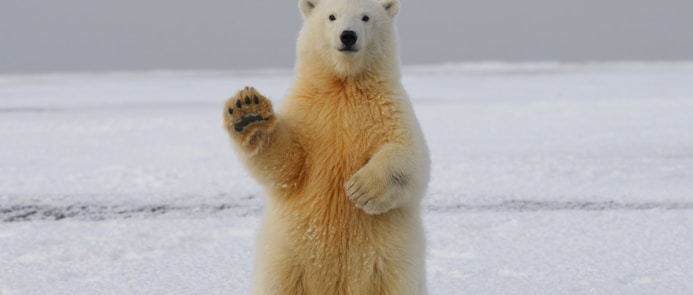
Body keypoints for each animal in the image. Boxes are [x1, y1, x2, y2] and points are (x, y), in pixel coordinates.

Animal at [223, 1, 428, 294]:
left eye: (365, 17)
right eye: (332, 16)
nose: (348, 36)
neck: (344, 85)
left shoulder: (389, 109)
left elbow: (411, 157)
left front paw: (360, 189)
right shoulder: (308, 111)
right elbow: (287, 164)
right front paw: (249, 112)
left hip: (392, 266)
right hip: (285, 261)